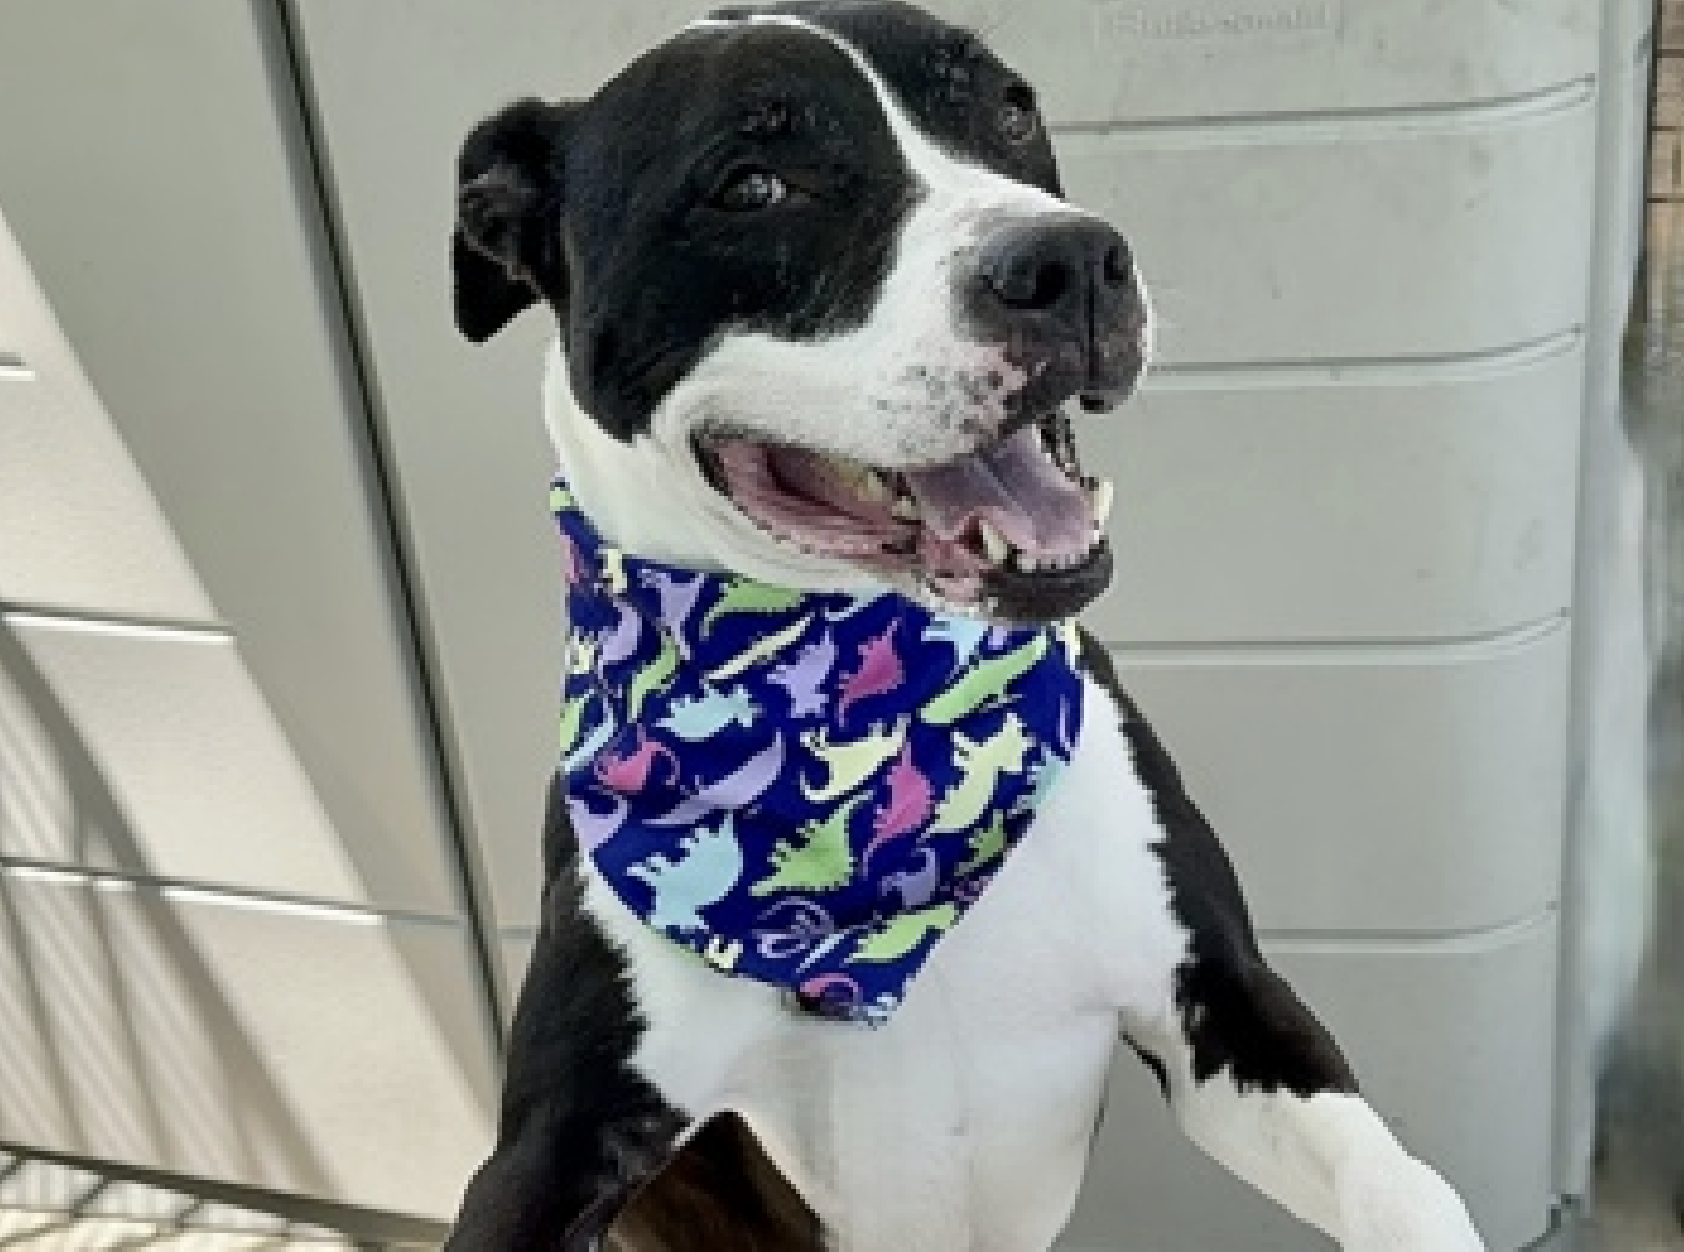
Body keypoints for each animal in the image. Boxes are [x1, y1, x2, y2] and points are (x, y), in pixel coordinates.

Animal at [444, 4, 1488, 1246]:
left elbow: (1400, 1181)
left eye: (1010, 108)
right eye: (751, 184)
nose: (1070, 261)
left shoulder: (1223, 1004)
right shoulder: (547, 1152)